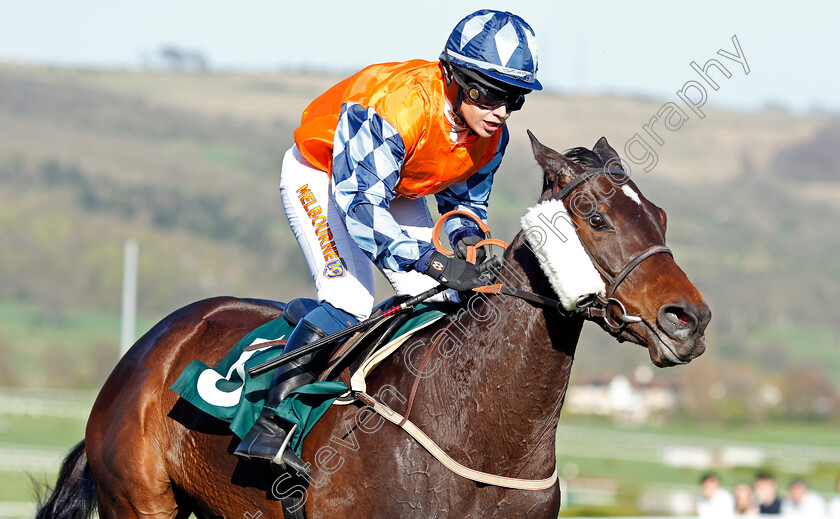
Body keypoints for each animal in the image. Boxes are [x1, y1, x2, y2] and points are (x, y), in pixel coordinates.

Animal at [37, 133, 708, 519]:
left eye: (660, 215)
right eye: (595, 216)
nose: (689, 319)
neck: (479, 430)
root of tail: (146, 348)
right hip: (139, 501)